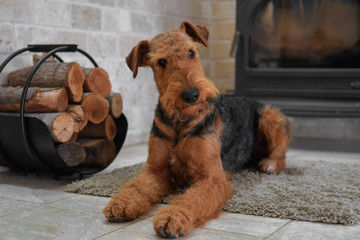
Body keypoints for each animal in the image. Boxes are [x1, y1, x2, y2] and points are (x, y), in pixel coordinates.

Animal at [102, 21, 292, 238]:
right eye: (162, 61)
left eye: (191, 52)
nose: (191, 95)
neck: (181, 120)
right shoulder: (155, 170)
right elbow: (137, 186)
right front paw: (121, 204)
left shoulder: (212, 178)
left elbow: (191, 199)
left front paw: (172, 218)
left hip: (270, 116)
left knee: (281, 151)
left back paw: (270, 164)